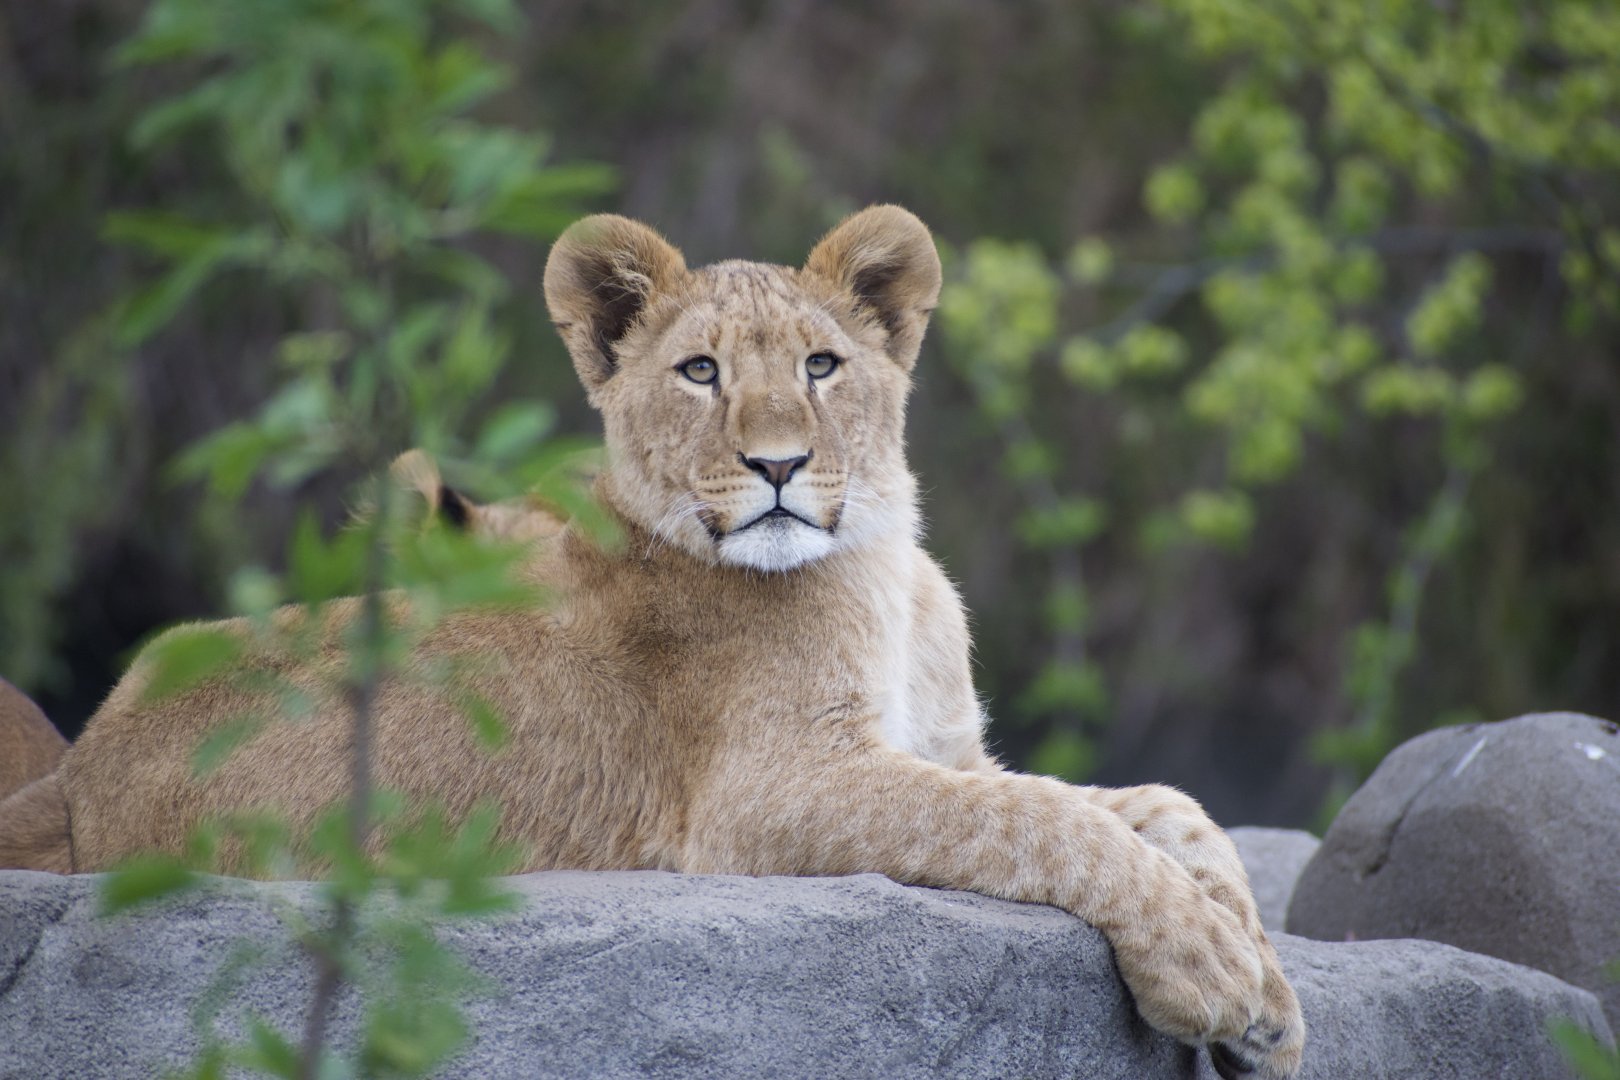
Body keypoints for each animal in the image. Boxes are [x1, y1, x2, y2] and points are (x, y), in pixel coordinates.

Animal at [0, 206, 1303, 1079]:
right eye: (700, 372)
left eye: (823, 365)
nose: (779, 464)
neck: (885, 564)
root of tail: (85, 765)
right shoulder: (770, 793)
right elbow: (1047, 824)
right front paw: (1209, 971)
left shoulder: (944, 750)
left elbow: (1158, 803)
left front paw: (1272, 1006)